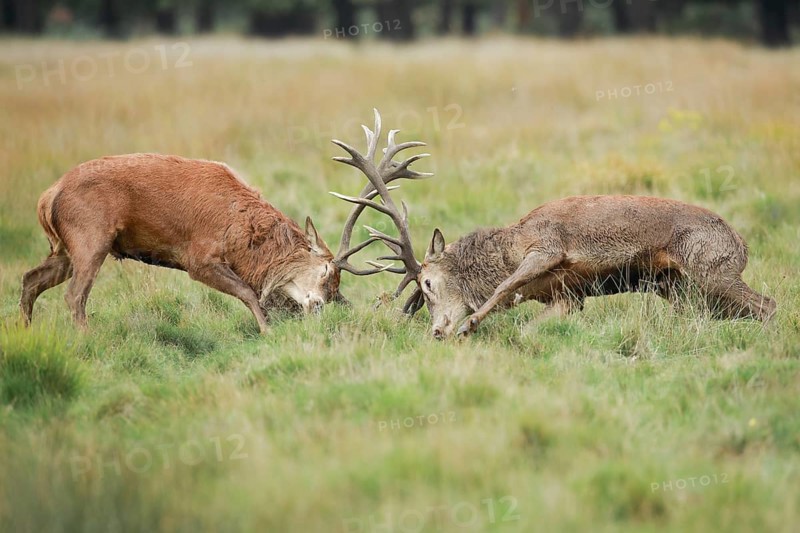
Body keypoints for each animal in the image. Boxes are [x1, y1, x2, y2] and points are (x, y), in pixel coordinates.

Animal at [20, 153, 342, 333]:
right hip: (91, 237)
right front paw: (267, 331)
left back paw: (24, 331)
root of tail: (47, 197)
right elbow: (248, 293)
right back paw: (87, 338)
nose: (319, 308)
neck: (238, 232)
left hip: (65, 248)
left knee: (30, 278)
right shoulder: (198, 259)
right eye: (327, 273)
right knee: (75, 295)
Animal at [329, 110, 777, 339]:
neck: (505, 252)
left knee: (768, 304)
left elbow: (505, 288)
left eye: (427, 283)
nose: (437, 332)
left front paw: (471, 322)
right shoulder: (567, 296)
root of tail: (742, 243)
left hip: (710, 267)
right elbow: (531, 328)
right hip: (680, 288)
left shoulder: (546, 245)